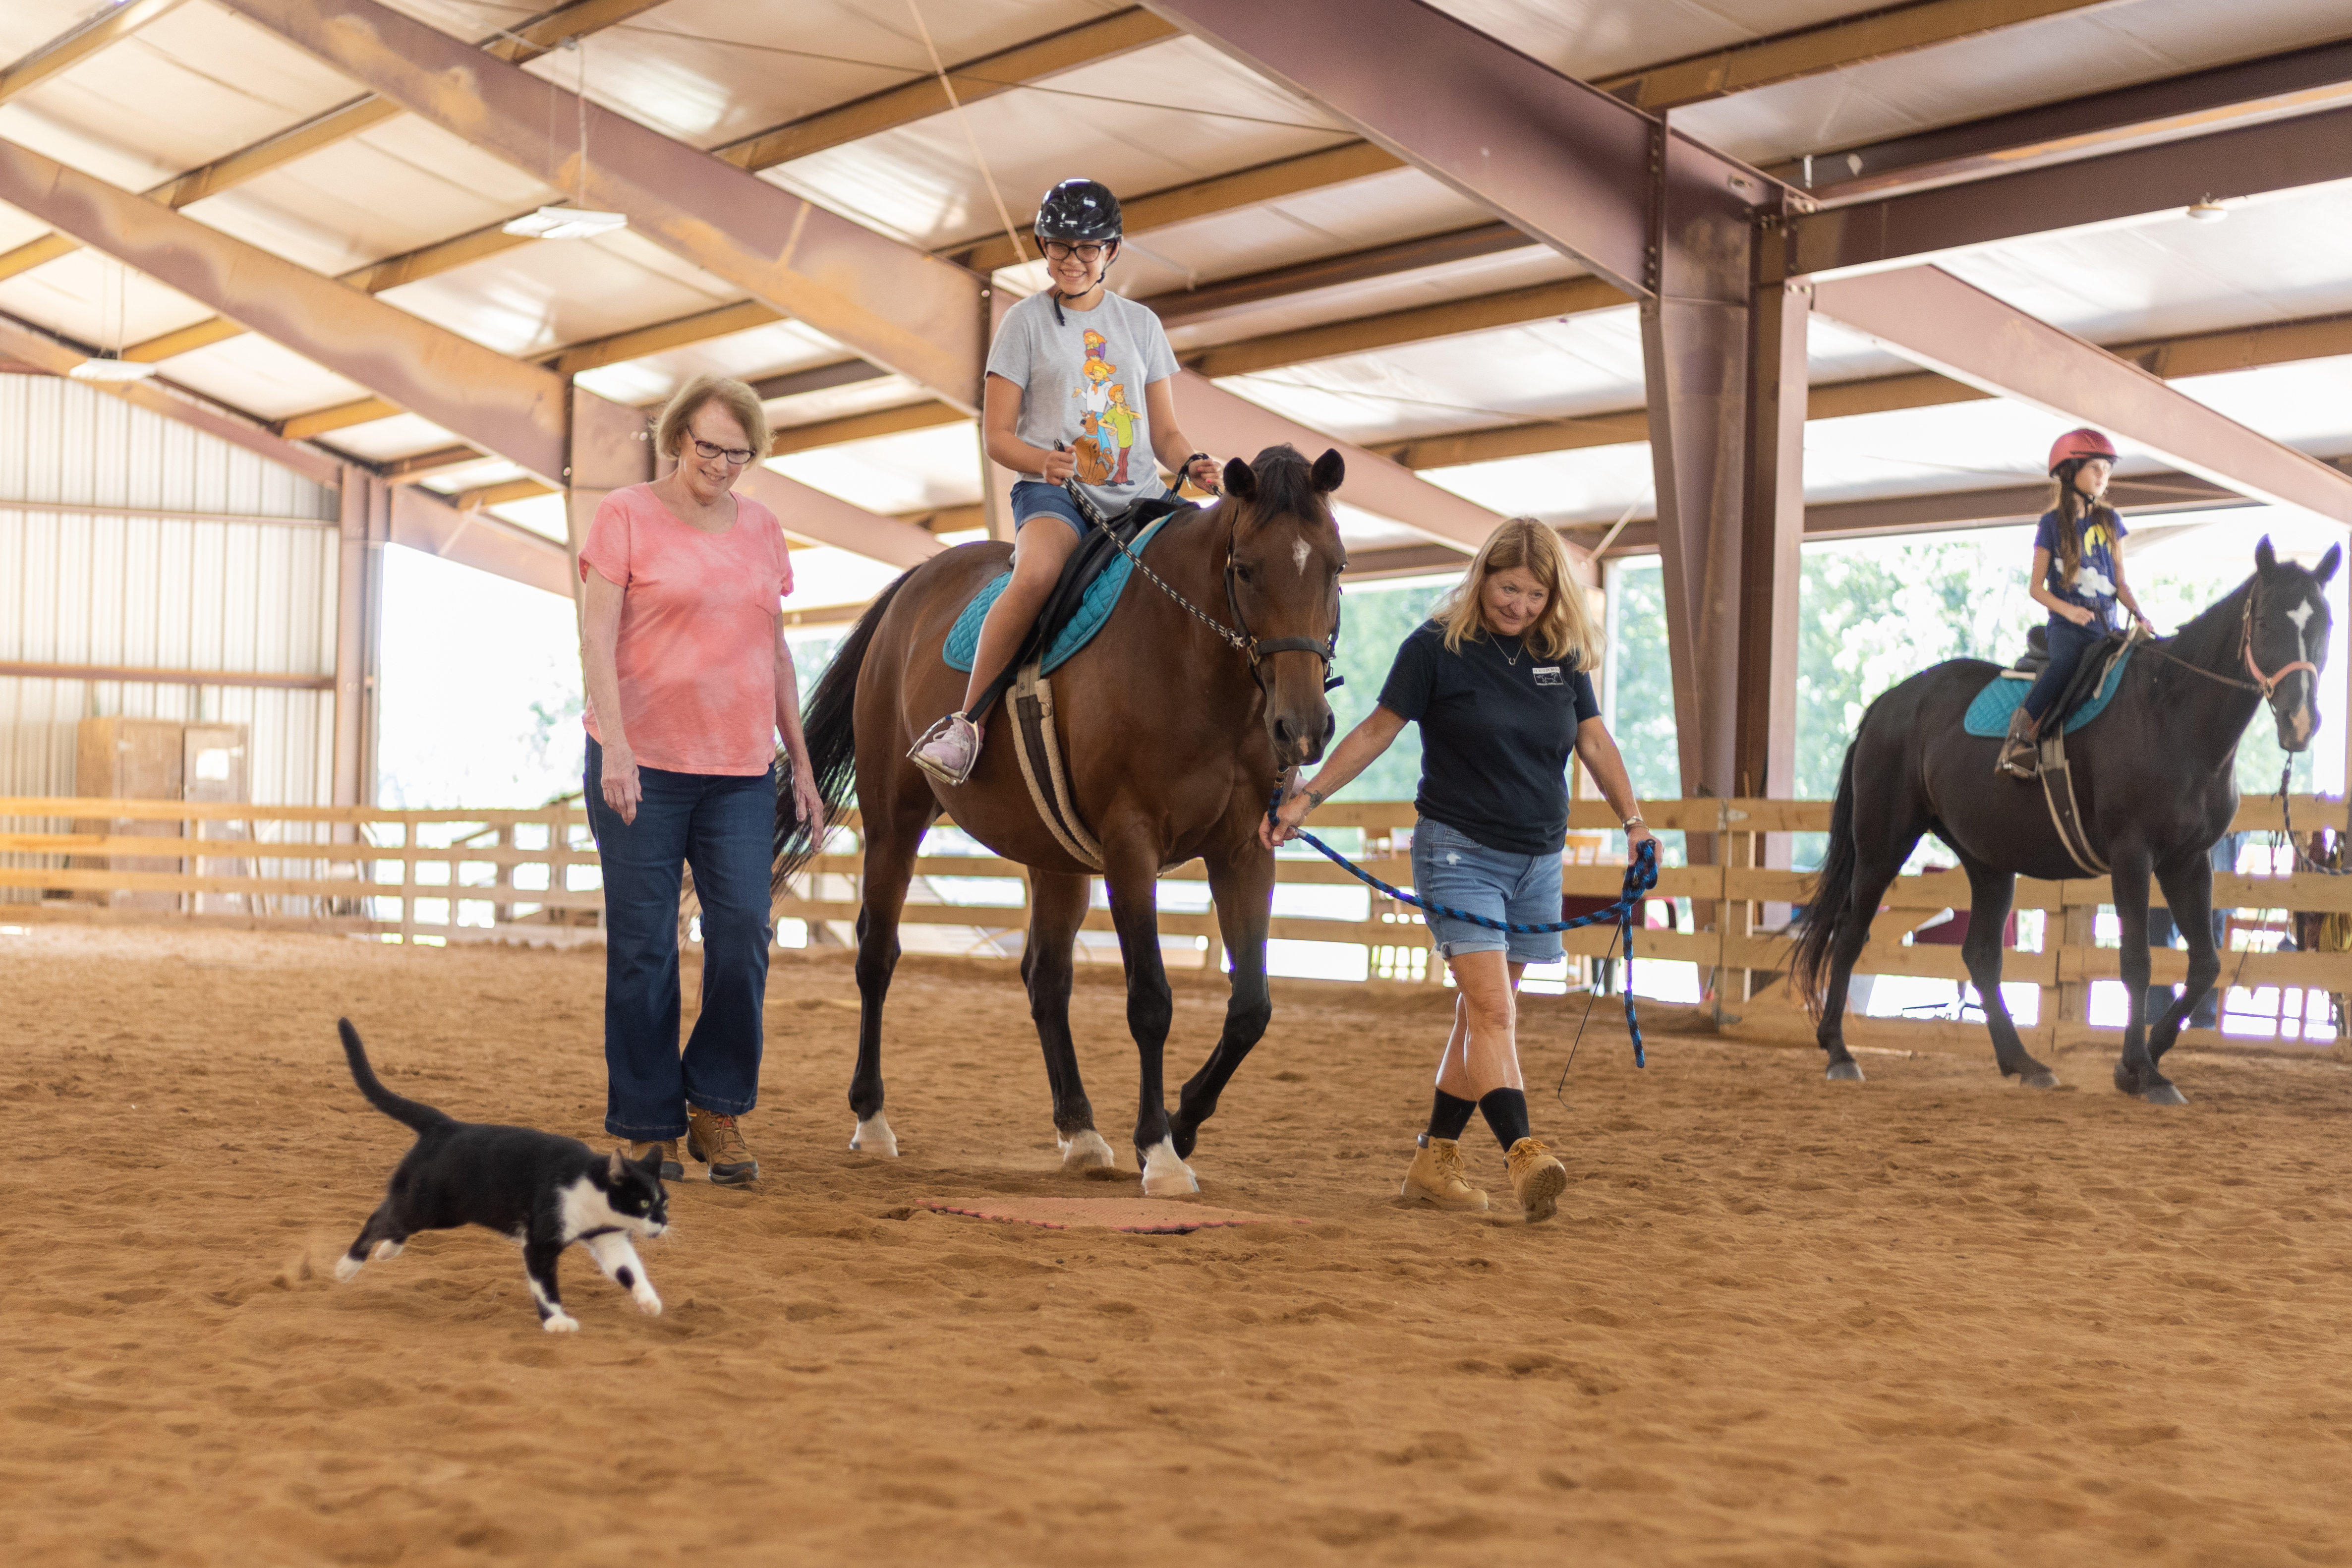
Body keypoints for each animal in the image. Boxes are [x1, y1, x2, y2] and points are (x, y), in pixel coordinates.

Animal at [329, 1020, 673, 1335]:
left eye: (664, 1204)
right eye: (644, 1203)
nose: (661, 1224)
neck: (589, 1192)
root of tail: (446, 1125)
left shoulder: (609, 1237)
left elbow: (629, 1269)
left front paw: (650, 1302)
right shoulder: (540, 1243)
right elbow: (545, 1287)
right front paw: (557, 1322)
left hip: (447, 1211)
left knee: (394, 1220)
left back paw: (387, 1250)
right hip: (427, 1205)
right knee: (380, 1218)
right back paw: (346, 1268)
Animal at [776, 447, 1345, 1194]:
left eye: (1335, 564)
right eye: (1246, 568)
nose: (1302, 728)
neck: (1191, 658)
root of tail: (913, 587)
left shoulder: (1245, 853)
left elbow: (1252, 1006)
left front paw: (1183, 1121)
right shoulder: (1131, 846)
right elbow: (1150, 1000)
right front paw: (1159, 1147)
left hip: (1054, 854)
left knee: (1045, 978)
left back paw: (1080, 1129)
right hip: (894, 820)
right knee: (877, 954)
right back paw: (871, 1118)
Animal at [1797, 540, 2333, 1104]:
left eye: (2323, 623)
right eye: (2267, 622)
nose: (2299, 720)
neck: (2171, 712)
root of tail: (1886, 704)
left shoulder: (2187, 861)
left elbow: (2206, 965)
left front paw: (2137, 1065)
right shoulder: (2132, 855)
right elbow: (2136, 962)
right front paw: (2142, 1069)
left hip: (1987, 862)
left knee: (1980, 956)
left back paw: (2023, 1062)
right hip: (1881, 845)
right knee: (1849, 934)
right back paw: (1839, 1052)